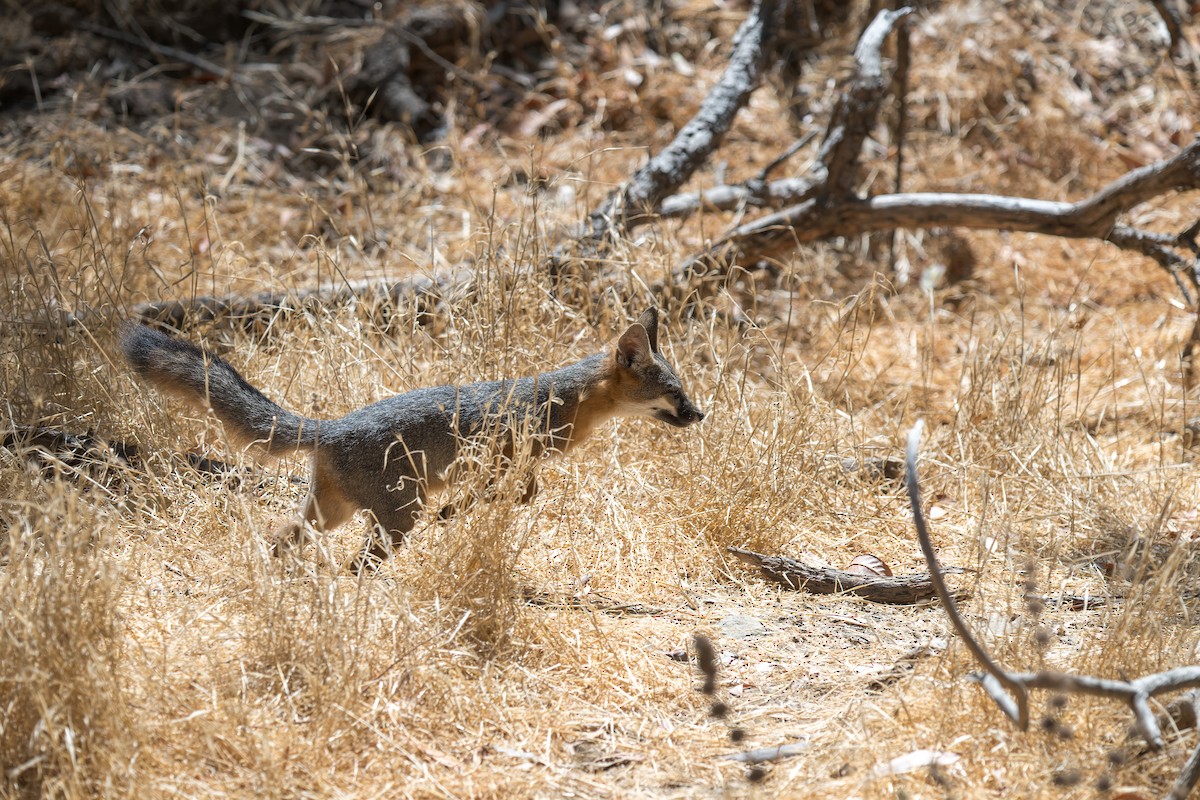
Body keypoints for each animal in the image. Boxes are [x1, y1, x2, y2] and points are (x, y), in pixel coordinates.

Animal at [121, 308, 704, 570]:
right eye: (675, 393)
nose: (701, 414)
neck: (567, 401)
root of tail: (330, 427)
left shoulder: (516, 464)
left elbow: (522, 493)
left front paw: (461, 512)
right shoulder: (501, 457)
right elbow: (517, 493)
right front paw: (454, 512)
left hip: (330, 515)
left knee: (282, 536)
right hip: (397, 519)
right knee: (359, 565)